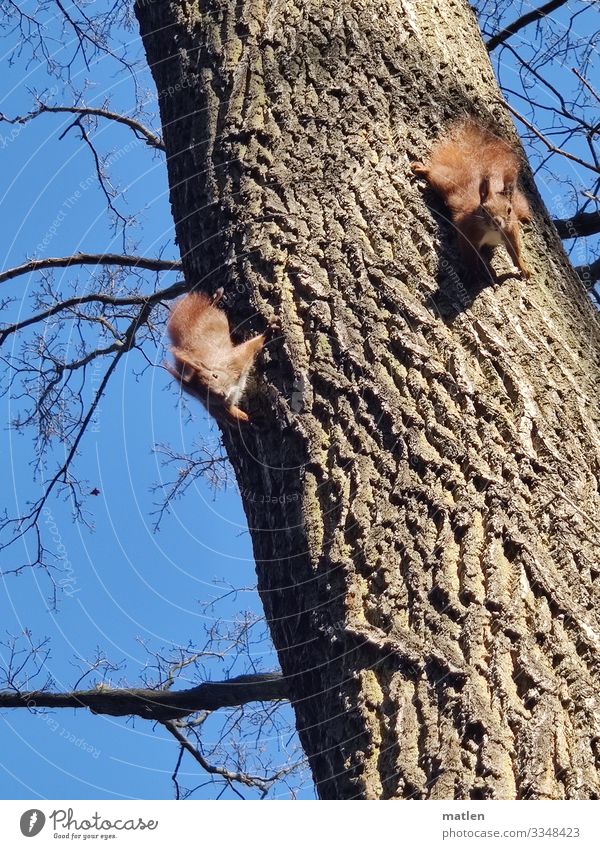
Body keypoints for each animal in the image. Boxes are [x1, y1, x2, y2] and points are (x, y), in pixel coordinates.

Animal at [166, 288, 274, 424]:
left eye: (215, 375)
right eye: (203, 394)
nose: (221, 393)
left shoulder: (235, 361)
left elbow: (250, 348)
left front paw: (268, 331)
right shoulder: (217, 408)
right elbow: (232, 415)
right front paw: (247, 418)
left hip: (214, 316)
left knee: (212, 306)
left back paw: (216, 297)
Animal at [410, 118, 532, 282]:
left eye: (509, 209)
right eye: (484, 209)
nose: (497, 222)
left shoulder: (511, 231)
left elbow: (516, 252)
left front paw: (523, 268)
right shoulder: (468, 231)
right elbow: (469, 255)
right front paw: (474, 272)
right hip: (444, 181)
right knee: (434, 173)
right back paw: (422, 169)